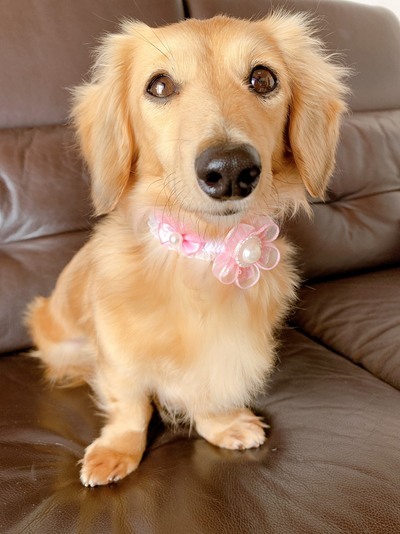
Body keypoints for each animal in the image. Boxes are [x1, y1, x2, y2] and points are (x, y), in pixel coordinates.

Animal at [26, 12, 347, 486]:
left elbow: (208, 391)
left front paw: (222, 424)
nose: (230, 170)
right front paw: (117, 450)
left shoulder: (222, 354)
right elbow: (130, 407)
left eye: (263, 78)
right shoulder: (118, 355)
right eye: (159, 86)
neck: (206, 250)